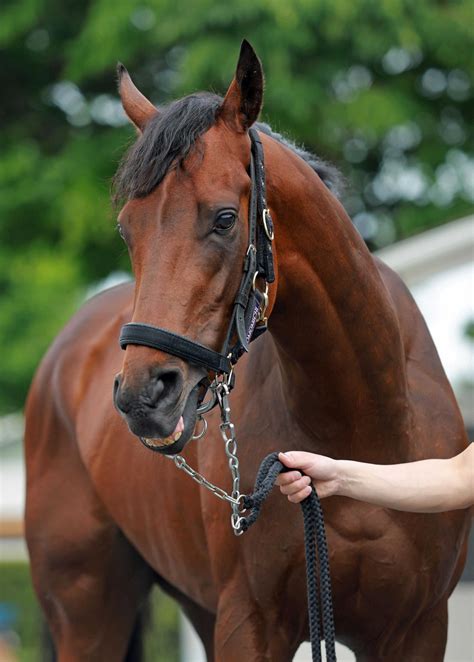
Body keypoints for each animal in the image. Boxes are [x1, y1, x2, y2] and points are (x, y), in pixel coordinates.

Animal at [25, 42, 470, 662]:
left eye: (225, 219)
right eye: (127, 229)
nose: (143, 396)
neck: (366, 427)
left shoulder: (418, 630)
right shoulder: (250, 622)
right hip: (88, 614)